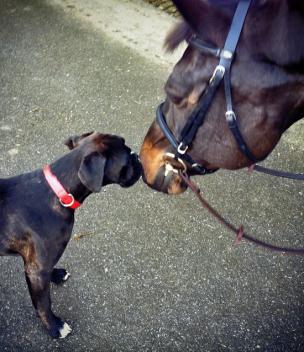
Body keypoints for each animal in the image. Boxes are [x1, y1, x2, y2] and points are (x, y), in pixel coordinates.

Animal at [0, 131, 142, 338]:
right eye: (126, 160)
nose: (138, 156)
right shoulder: (37, 270)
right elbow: (43, 303)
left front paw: (57, 274)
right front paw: (54, 326)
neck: (58, 192)